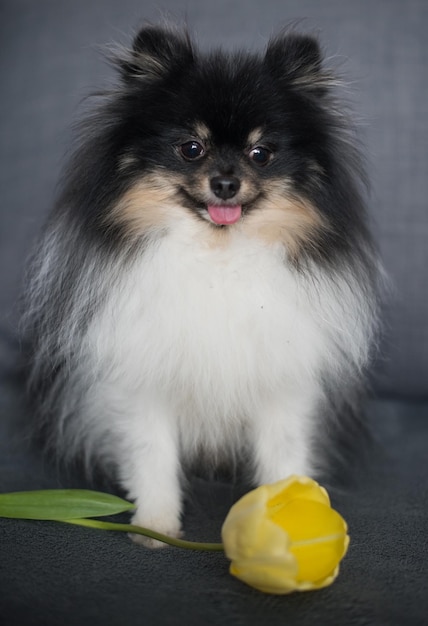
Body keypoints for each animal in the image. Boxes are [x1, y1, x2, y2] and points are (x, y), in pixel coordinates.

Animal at [23, 25, 378, 540]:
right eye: (192, 147)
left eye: (260, 153)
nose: (226, 183)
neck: (218, 257)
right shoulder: (142, 377)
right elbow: (152, 455)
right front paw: (154, 525)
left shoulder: (281, 378)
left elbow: (284, 453)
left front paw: (291, 514)